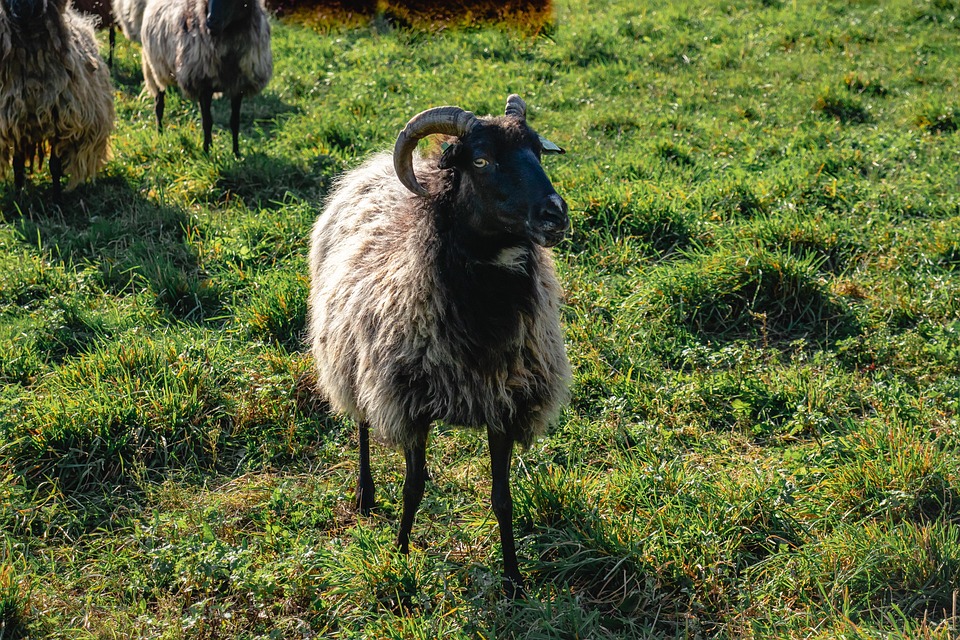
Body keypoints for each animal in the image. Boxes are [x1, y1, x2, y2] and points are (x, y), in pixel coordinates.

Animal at [0, 0, 115, 200]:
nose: (22, 8)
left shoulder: (60, 123)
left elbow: (53, 165)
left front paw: (57, 200)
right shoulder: (16, 123)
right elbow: (17, 165)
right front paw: (18, 197)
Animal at [140, 0, 272, 157]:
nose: (211, 22)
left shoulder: (237, 85)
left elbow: (234, 121)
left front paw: (236, 153)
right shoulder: (203, 84)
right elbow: (207, 122)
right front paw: (205, 153)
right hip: (157, 70)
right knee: (159, 105)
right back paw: (160, 135)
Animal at [307, 94, 571, 595]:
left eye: (537, 152)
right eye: (481, 160)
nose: (556, 214)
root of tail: (370, 166)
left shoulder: (504, 402)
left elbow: (502, 497)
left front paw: (513, 578)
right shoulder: (409, 401)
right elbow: (413, 487)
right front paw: (399, 556)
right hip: (351, 353)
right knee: (362, 422)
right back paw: (365, 492)